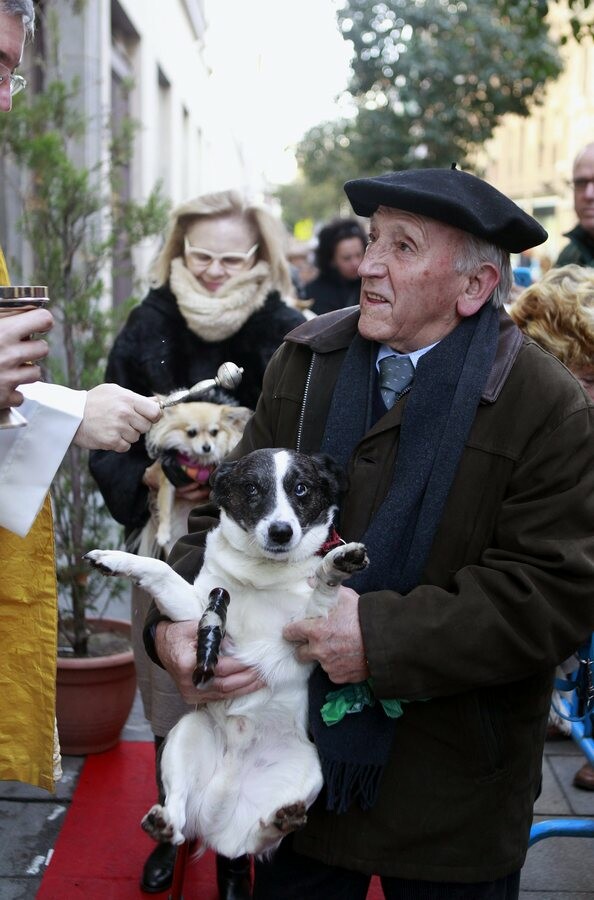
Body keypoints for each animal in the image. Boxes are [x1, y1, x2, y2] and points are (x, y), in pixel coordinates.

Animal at [85, 450, 366, 856]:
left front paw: (336, 565)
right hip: (185, 735)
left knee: (257, 840)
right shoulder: (199, 609)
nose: (281, 532)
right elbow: (161, 569)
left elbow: (322, 590)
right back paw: (165, 823)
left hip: (310, 770)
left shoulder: (306, 629)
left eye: (301, 488)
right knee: (181, 814)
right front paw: (114, 559)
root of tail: (216, 816)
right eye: (251, 488)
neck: (261, 574)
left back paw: (281, 820)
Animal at [142, 400, 252, 556]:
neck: (198, 463)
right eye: (191, 433)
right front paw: (163, 533)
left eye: (214, 432)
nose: (207, 447)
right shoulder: (167, 483)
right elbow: (165, 508)